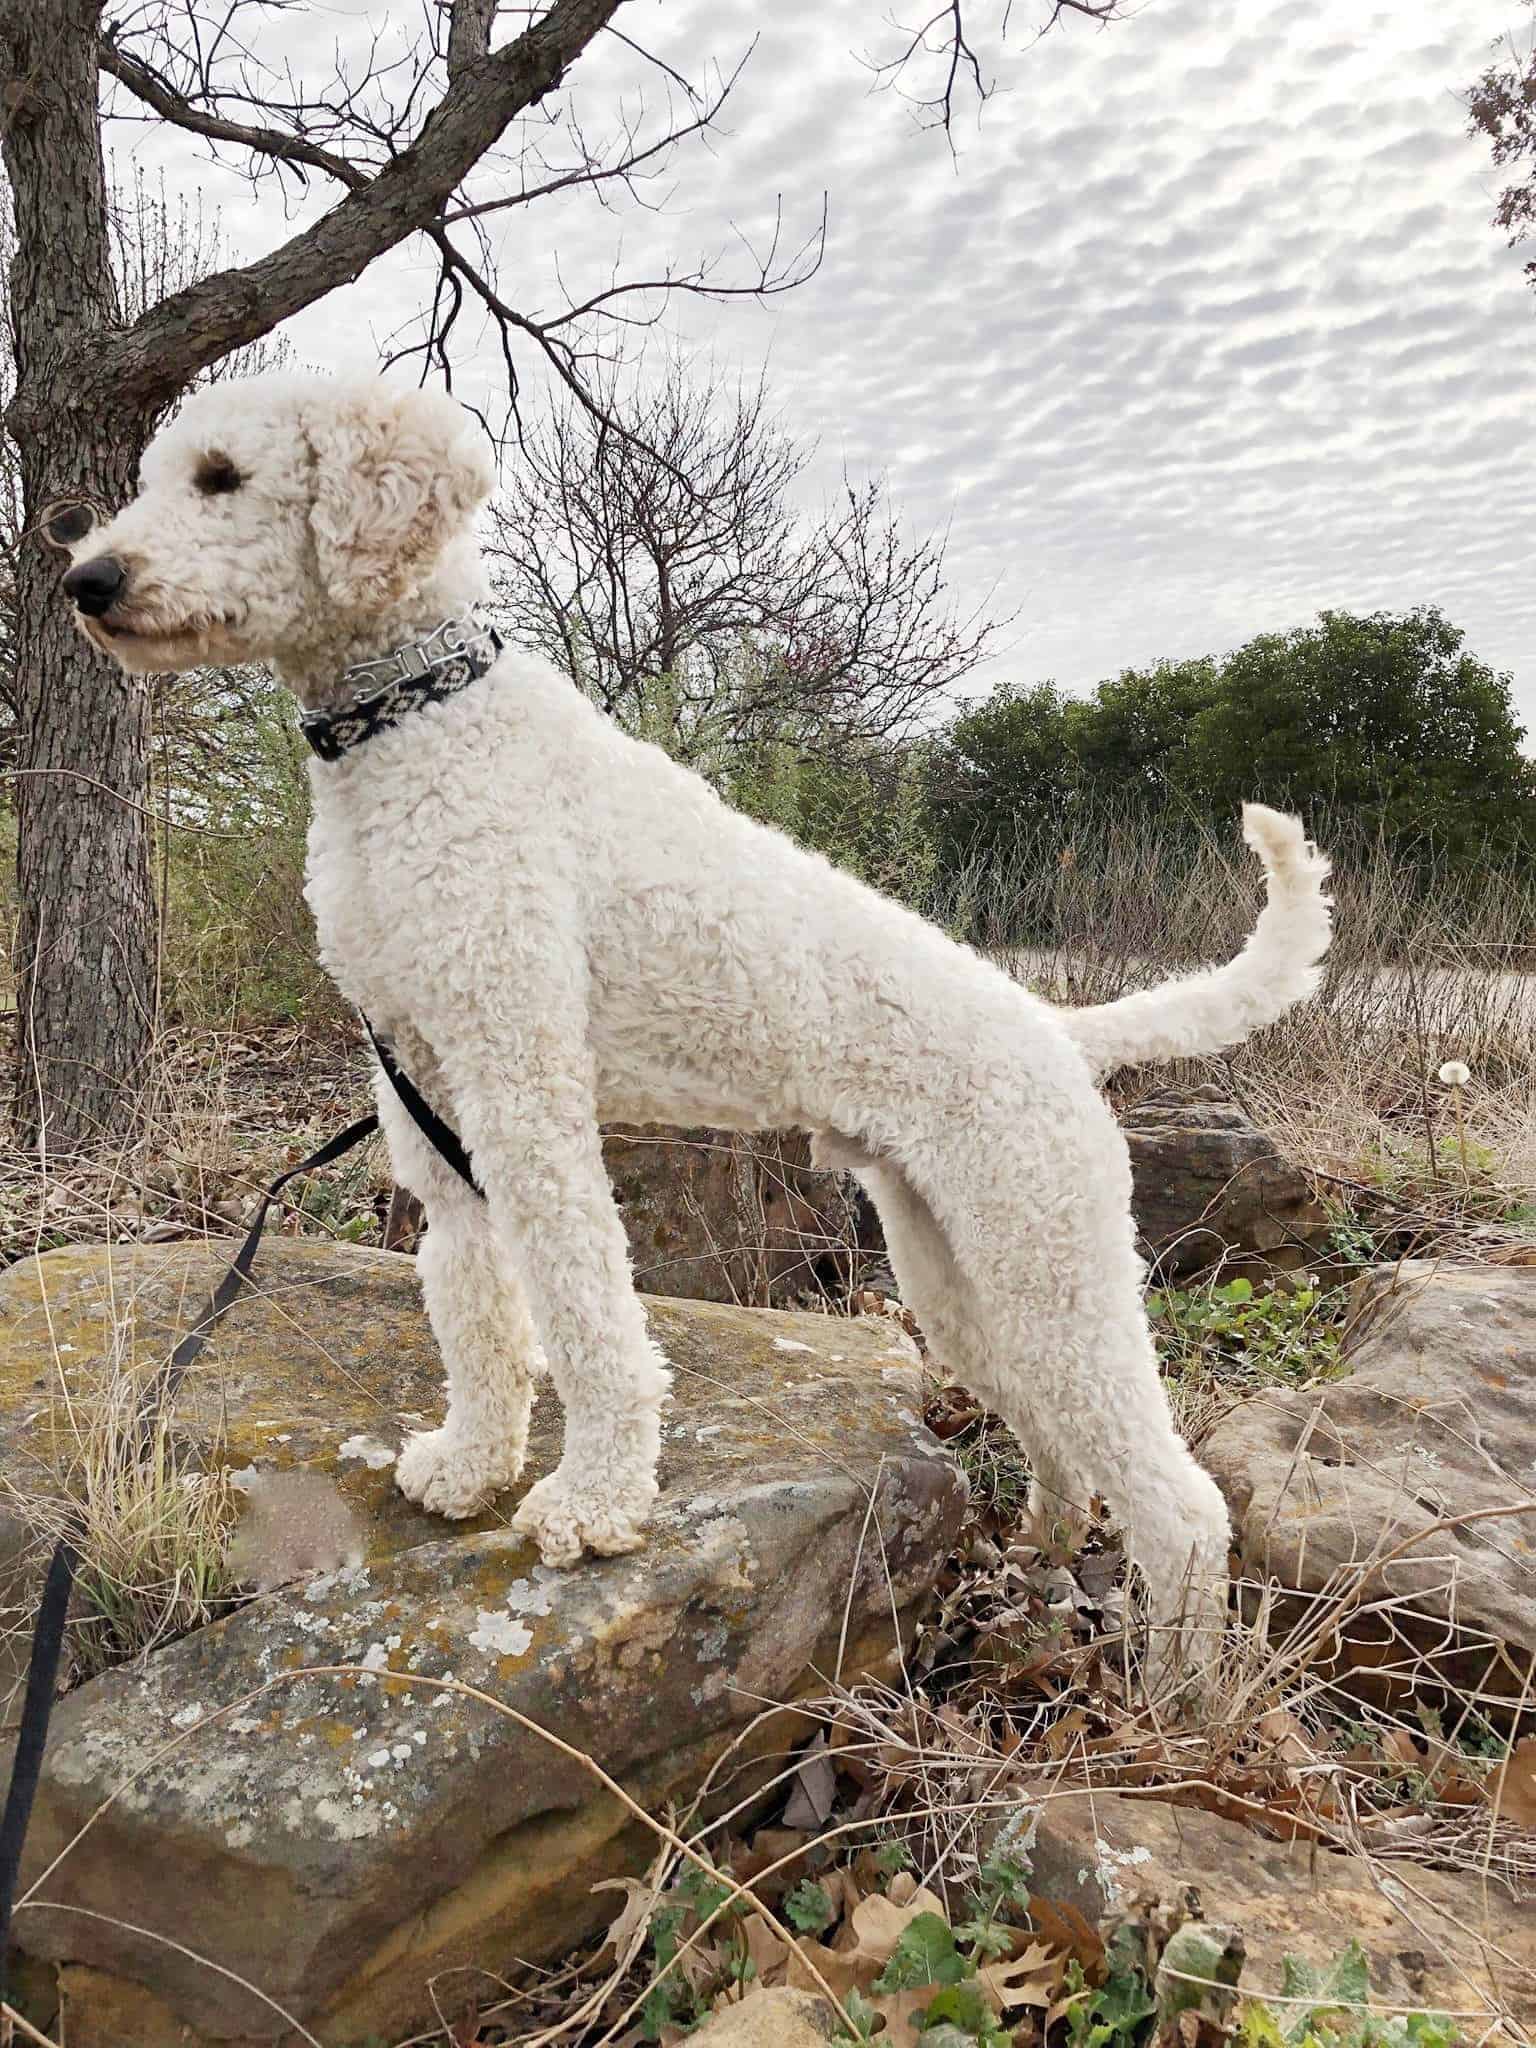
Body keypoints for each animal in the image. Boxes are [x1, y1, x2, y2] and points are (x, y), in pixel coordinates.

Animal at [62, 373, 1331, 1694]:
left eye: (221, 477)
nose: (85, 579)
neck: (416, 728)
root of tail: (1061, 1032)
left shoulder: (524, 1084)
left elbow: (586, 1319)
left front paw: (592, 1502)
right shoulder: (430, 1097)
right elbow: (476, 1313)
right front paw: (469, 1463)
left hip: (1052, 1257)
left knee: (1182, 1505)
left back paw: (1181, 1692)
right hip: (962, 1274)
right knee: (1061, 1438)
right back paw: (1036, 1550)